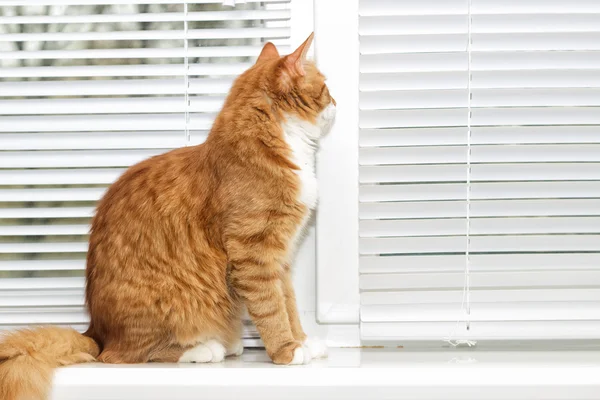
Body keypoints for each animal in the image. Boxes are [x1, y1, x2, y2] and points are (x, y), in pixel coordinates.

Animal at [0, 33, 338, 400]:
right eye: (325, 87)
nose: (337, 103)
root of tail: (96, 331)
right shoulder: (254, 254)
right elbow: (272, 309)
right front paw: (286, 351)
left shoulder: (280, 258)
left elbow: (289, 306)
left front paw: (303, 341)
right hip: (166, 303)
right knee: (124, 355)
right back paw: (205, 348)